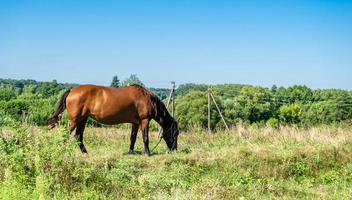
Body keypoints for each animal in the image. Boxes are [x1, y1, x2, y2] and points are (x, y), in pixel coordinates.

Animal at [47, 83, 179, 155]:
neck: (147, 98)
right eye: (176, 133)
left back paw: (85, 153)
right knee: (66, 134)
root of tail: (72, 90)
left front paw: (131, 152)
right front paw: (148, 153)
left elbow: (133, 138)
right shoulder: (144, 120)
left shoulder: (135, 123)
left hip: (83, 119)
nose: (174, 149)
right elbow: (145, 138)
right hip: (75, 120)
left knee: (78, 136)